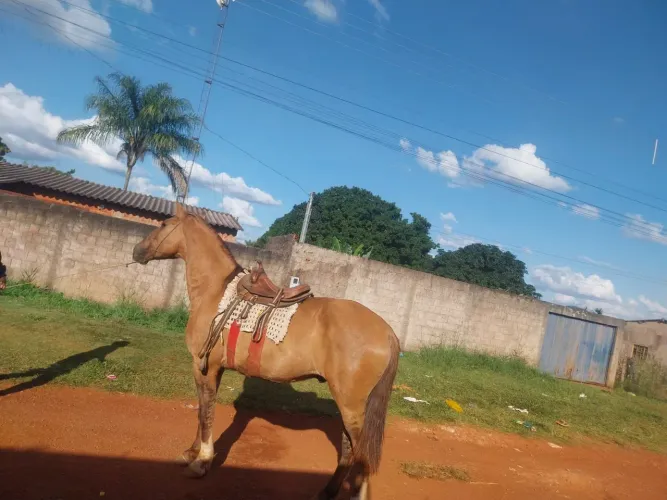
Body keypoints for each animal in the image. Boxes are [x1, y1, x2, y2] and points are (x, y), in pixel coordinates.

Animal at [132, 204, 400, 500]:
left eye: (164, 224)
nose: (137, 251)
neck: (216, 292)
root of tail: (388, 332)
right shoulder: (212, 368)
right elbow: (202, 410)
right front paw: (192, 452)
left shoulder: (204, 367)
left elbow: (206, 412)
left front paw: (201, 462)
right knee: (349, 450)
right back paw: (326, 492)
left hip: (352, 406)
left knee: (361, 455)